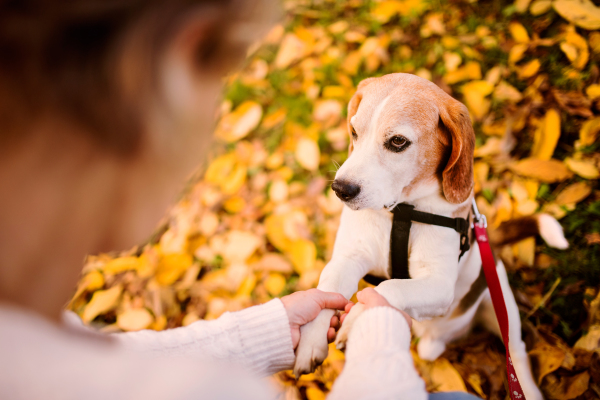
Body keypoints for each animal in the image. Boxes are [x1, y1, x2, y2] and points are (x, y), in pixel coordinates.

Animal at [294, 73, 568, 398]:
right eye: (354, 131)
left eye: (398, 141)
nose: (341, 189)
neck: (401, 211)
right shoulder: (350, 258)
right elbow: (328, 291)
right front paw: (311, 341)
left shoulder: (438, 285)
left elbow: (388, 289)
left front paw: (358, 318)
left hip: (502, 303)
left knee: (517, 351)